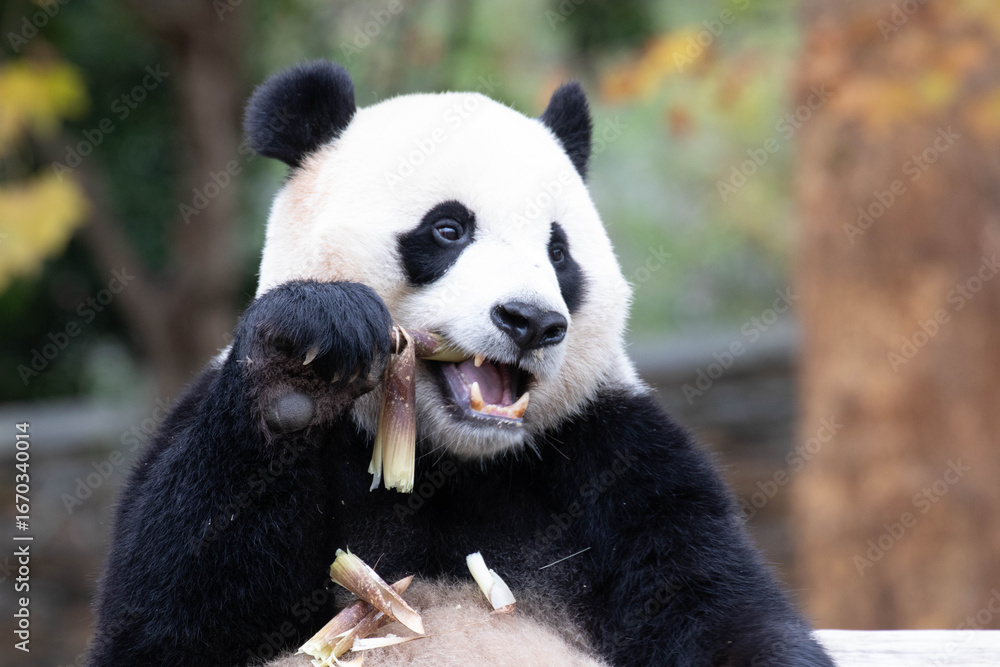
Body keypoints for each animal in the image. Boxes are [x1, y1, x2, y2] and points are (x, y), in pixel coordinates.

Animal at [88, 61, 833, 667]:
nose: (531, 320)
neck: (452, 457)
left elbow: (718, 608)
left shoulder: (614, 453)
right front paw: (302, 367)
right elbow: (167, 619)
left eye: (558, 251)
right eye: (448, 229)